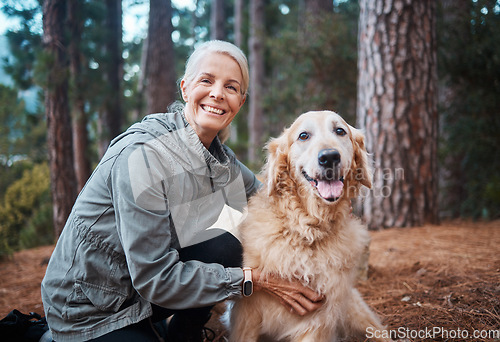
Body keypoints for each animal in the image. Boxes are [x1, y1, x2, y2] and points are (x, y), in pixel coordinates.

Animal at [229, 111, 388, 342]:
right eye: (303, 135)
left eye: (340, 131)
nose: (329, 157)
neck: (308, 229)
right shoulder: (246, 316)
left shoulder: (318, 320)